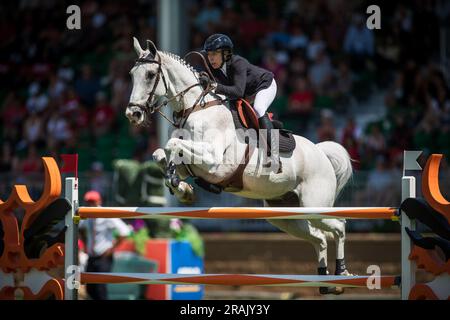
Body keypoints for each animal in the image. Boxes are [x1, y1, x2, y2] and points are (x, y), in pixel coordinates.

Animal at [126, 37, 356, 292]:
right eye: (132, 74)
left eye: (150, 74)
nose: (132, 114)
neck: (197, 108)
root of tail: (321, 154)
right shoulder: (192, 164)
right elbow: (161, 154)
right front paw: (181, 188)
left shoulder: (213, 161)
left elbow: (171, 144)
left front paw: (178, 185)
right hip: (286, 216)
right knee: (320, 238)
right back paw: (326, 282)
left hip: (314, 206)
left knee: (339, 225)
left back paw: (342, 272)